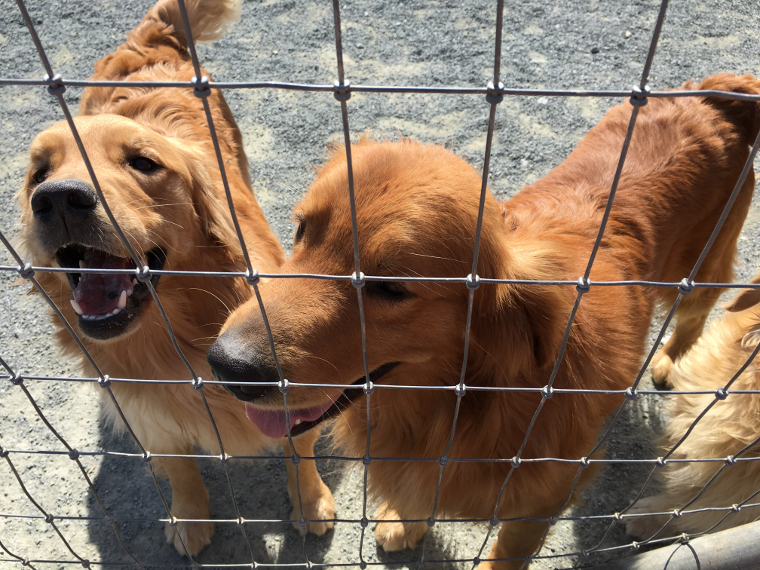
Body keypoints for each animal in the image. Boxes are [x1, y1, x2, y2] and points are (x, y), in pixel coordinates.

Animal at [14, 0, 334, 556]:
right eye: (39, 173)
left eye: (144, 163)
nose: (57, 198)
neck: (174, 334)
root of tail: (149, 40)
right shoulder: (148, 408)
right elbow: (181, 469)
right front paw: (189, 519)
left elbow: (300, 446)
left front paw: (311, 503)